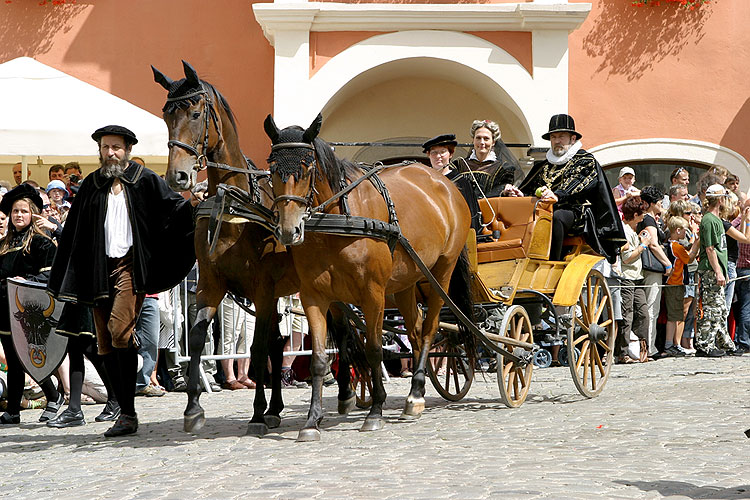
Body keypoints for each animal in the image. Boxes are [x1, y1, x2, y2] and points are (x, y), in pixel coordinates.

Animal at [153, 60, 358, 436]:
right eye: (165, 115)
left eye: (195, 113)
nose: (178, 177)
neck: (233, 206)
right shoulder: (211, 285)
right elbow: (200, 336)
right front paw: (193, 408)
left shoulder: (262, 289)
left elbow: (258, 348)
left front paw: (258, 414)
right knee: (284, 344)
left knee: (339, 332)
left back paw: (346, 394)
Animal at [264, 114, 476, 442]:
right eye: (273, 169)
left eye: (307, 168)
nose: (289, 231)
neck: (339, 222)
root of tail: (445, 184)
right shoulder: (316, 296)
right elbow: (319, 358)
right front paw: (312, 421)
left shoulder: (372, 294)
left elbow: (375, 350)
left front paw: (375, 411)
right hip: (406, 283)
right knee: (414, 329)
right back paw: (416, 391)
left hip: (440, 273)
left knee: (429, 329)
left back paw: (416, 393)